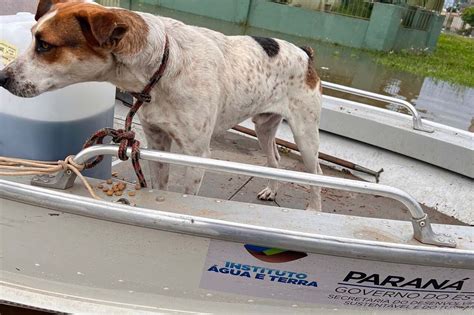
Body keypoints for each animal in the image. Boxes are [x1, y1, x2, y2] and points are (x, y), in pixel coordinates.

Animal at [0, 0, 322, 212]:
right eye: (32, 38)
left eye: (45, 45)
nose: (2, 77)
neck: (163, 67)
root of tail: (304, 52)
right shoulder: (156, 142)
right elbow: (159, 186)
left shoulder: (196, 155)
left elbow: (187, 195)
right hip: (264, 127)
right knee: (276, 162)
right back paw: (271, 190)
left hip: (305, 135)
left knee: (315, 173)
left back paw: (313, 213)